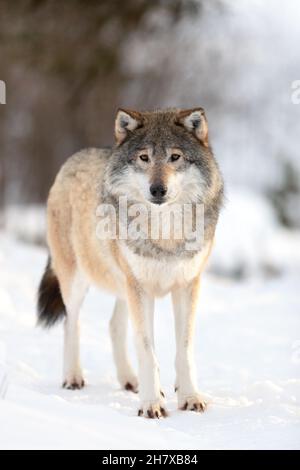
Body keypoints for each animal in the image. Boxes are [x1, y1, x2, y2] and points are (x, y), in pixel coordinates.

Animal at [37, 107, 223, 418]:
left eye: (175, 157)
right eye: (144, 158)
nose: (157, 189)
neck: (165, 234)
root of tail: (73, 158)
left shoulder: (187, 285)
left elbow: (184, 349)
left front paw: (189, 397)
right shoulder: (141, 288)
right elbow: (147, 350)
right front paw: (151, 404)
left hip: (123, 286)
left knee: (114, 326)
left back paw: (129, 380)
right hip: (78, 281)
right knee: (71, 322)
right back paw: (73, 377)